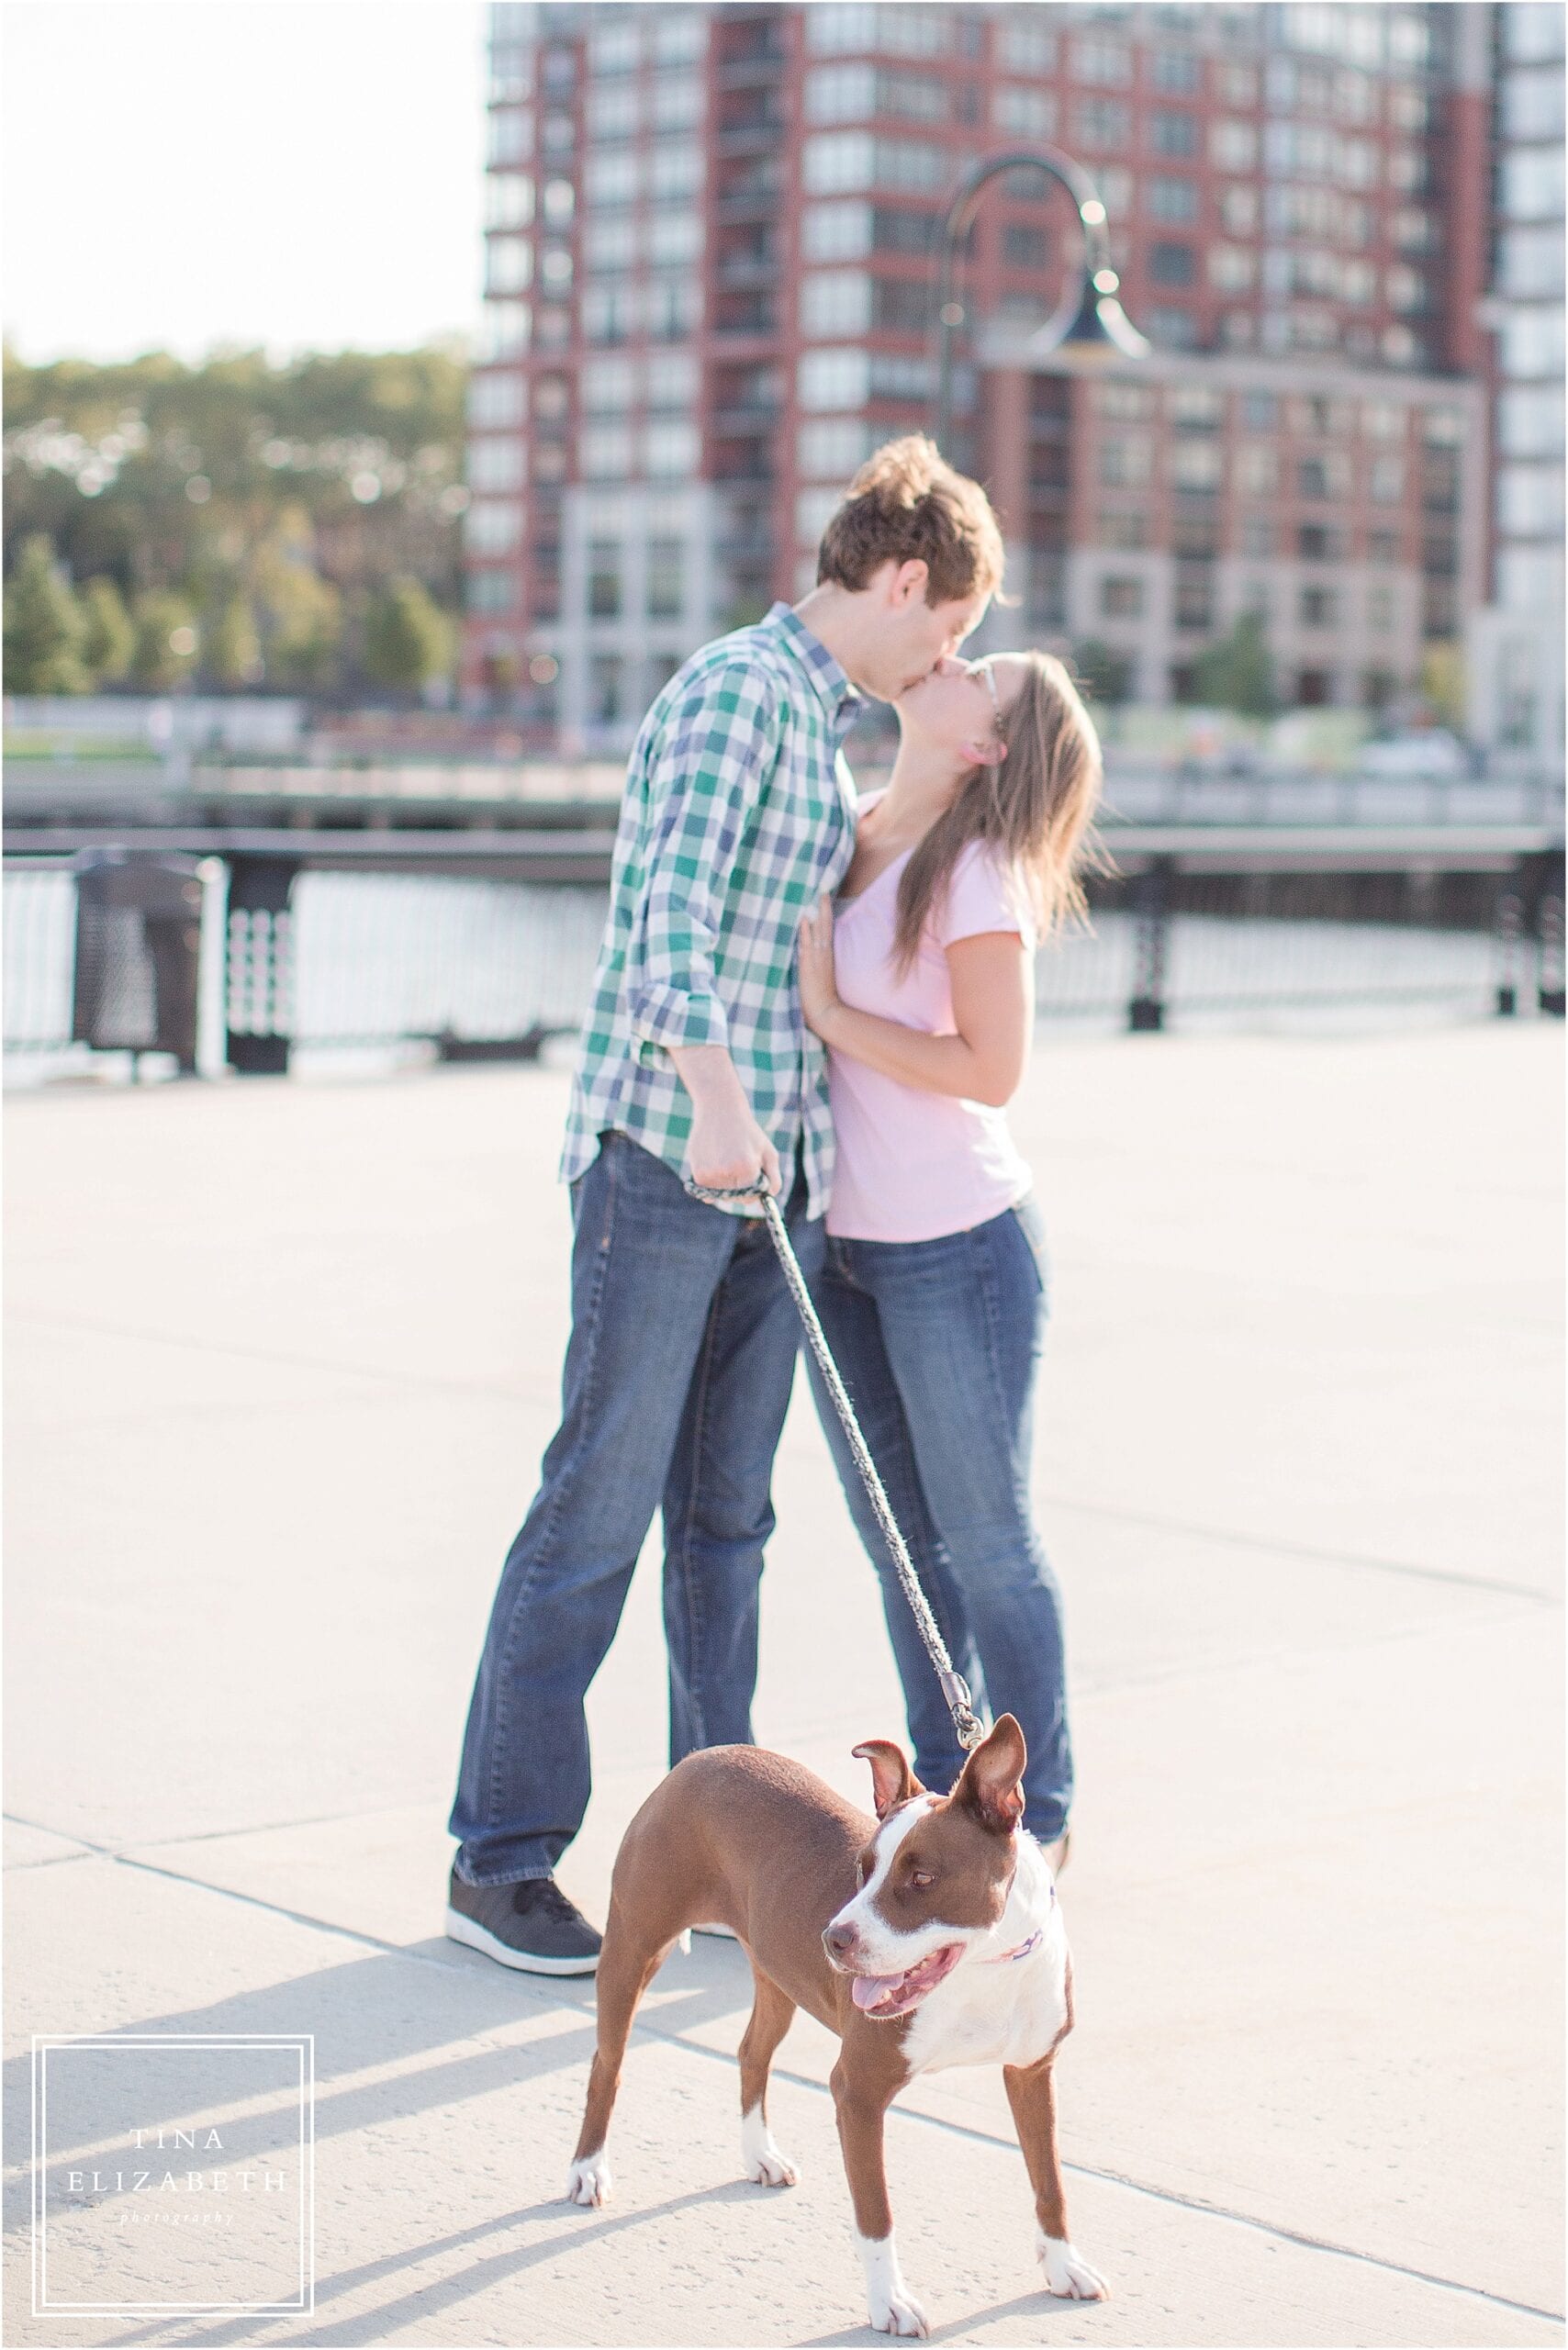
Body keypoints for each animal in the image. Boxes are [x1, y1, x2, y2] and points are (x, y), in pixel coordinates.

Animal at [564, 1710, 1104, 2331]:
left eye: (922, 1877)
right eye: (862, 1870)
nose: (833, 1939)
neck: (983, 1970)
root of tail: (700, 1758)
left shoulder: (1032, 2073)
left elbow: (1050, 2180)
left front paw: (1063, 2266)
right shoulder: (858, 2093)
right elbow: (876, 2214)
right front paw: (889, 2301)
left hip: (776, 1976)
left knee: (752, 2053)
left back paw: (759, 2155)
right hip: (632, 1951)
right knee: (608, 2064)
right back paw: (588, 2169)